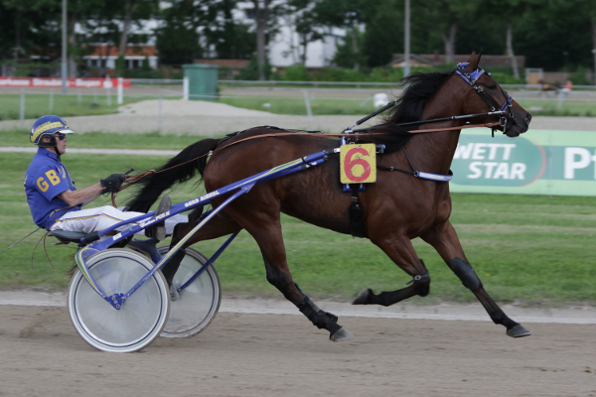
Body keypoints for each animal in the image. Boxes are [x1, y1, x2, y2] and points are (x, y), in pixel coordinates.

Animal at [129, 53, 532, 340]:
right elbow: (422, 279)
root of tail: (225, 143)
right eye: (491, 84)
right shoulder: (387, 234)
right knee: (279, 274)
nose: (524, 117)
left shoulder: (437, 227)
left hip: (232, 213)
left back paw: (165, 287)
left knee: (184, 235)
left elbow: (468, 274)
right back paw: (329, 323)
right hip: (260, 215)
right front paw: (369, 296)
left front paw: (509, 321)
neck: (409, 155)